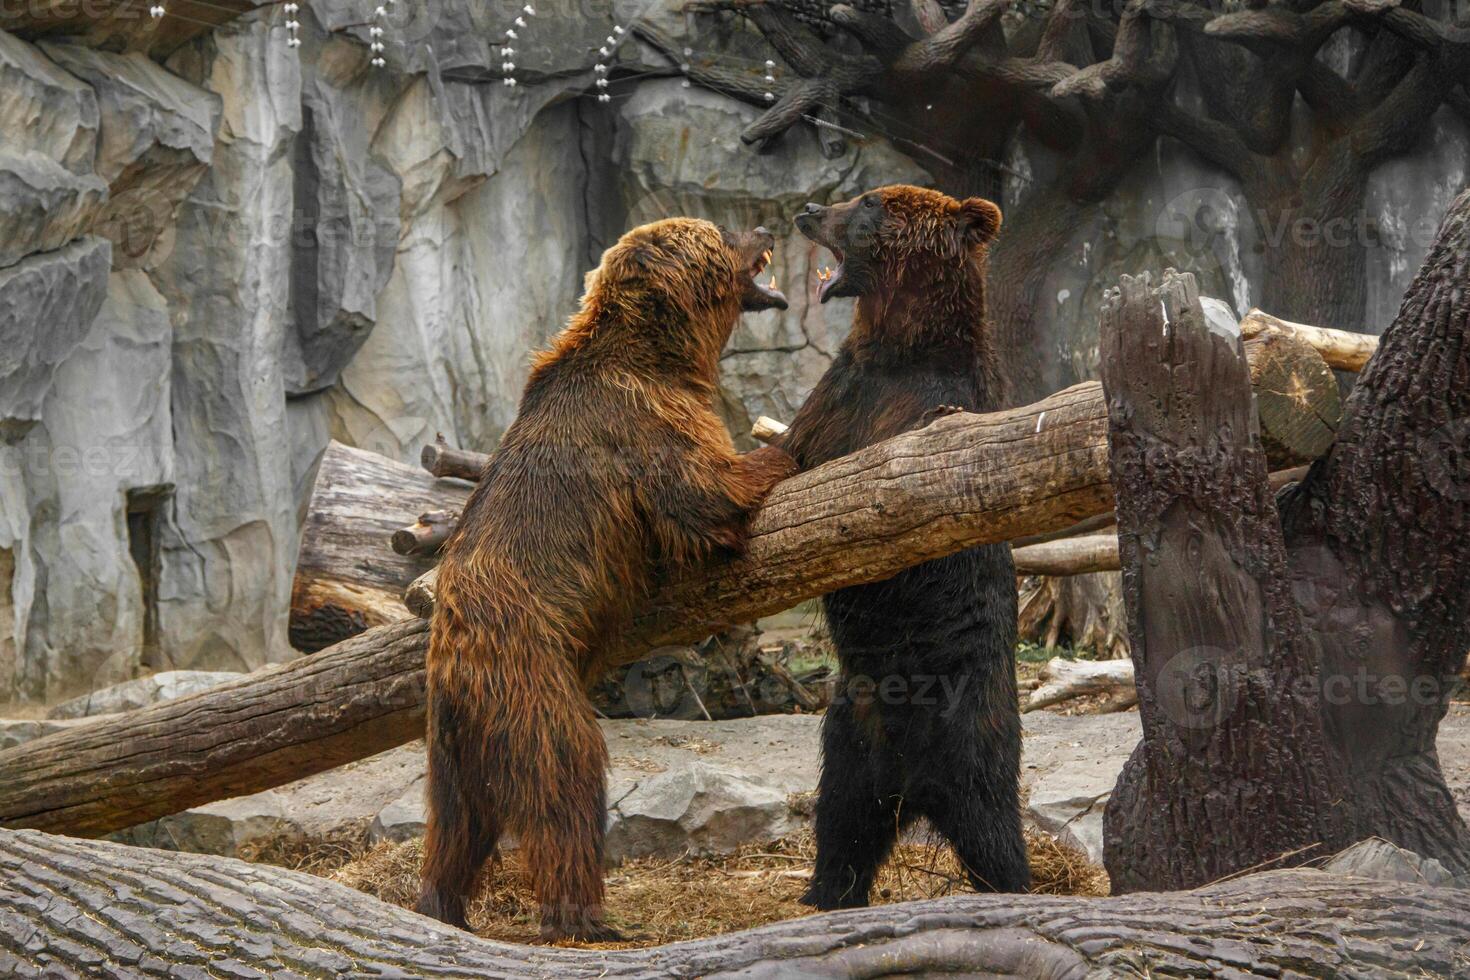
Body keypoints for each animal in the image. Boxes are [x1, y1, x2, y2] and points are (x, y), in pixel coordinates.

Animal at [420, 215, 799, 940]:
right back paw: (587, 916)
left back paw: (442, 904)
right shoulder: (643, 420)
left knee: (455, 827)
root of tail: (454, 669)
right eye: (720, 231)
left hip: (449, 748)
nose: (766, 224)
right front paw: (788, 441)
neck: (668, 356)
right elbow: (707, 495)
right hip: (531, 681)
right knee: (565, 784)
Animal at [787, 182, 1029, 905]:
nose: (808, 209)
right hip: (851, 735)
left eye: (868, 203)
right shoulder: (839, 398)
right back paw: (821, 893)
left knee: (995, 833)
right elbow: (787, 459)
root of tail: (914, 788)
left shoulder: (924, 405)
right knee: (841, 827)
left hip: (977, 731)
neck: (900, 351)